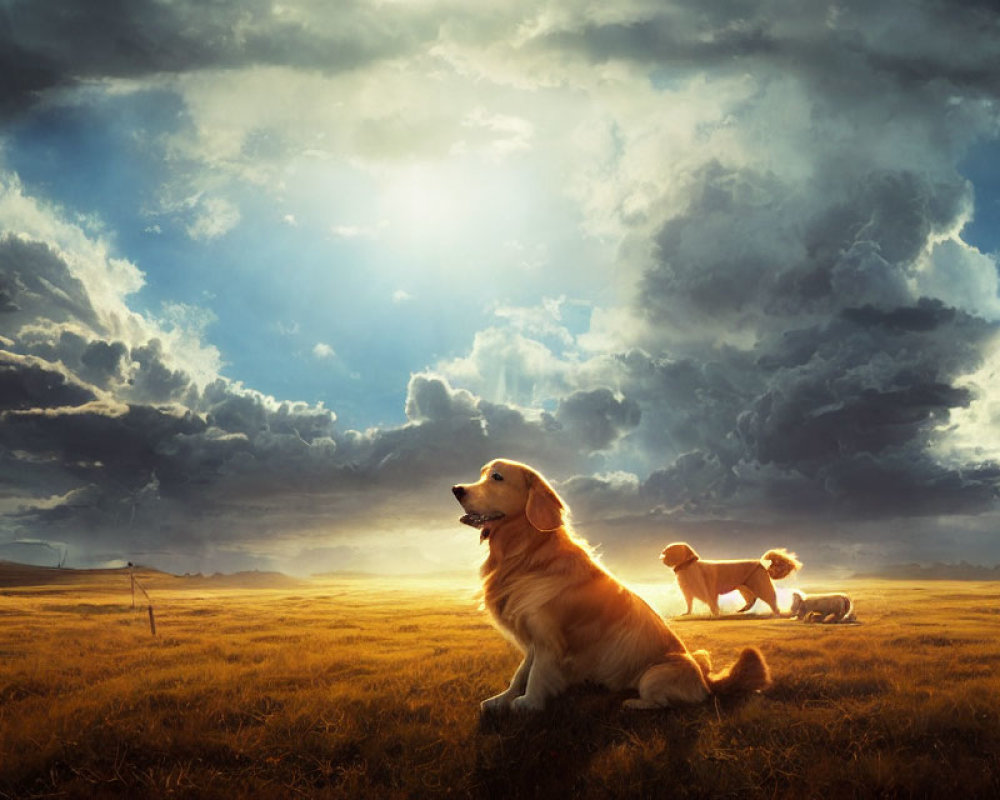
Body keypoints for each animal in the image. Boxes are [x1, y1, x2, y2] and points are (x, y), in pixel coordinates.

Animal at [454, 460, 772, 716]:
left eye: (497, 477)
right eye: (482, 473)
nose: (456, 489)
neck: (527, 554)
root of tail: (707, 682)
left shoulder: (549, 639)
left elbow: (536, 675)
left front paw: (528, 703)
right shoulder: (532, 639)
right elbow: (520, 674)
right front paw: (501, 699)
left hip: (654, 675)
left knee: (662, 703)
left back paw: (633, 703)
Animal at [656, 540, 804, 616]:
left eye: (670, 552)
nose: (661, 557)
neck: (687, 567)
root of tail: (760, 563)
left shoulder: (709, 591)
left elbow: (713, 604)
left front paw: (715, 615)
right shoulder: (688, 593)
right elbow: (689, 605)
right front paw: (686, 613)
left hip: (760, 586)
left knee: (771, 600)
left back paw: (776, 613)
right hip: (744, 587)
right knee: (751, 599)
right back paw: (742, 610)